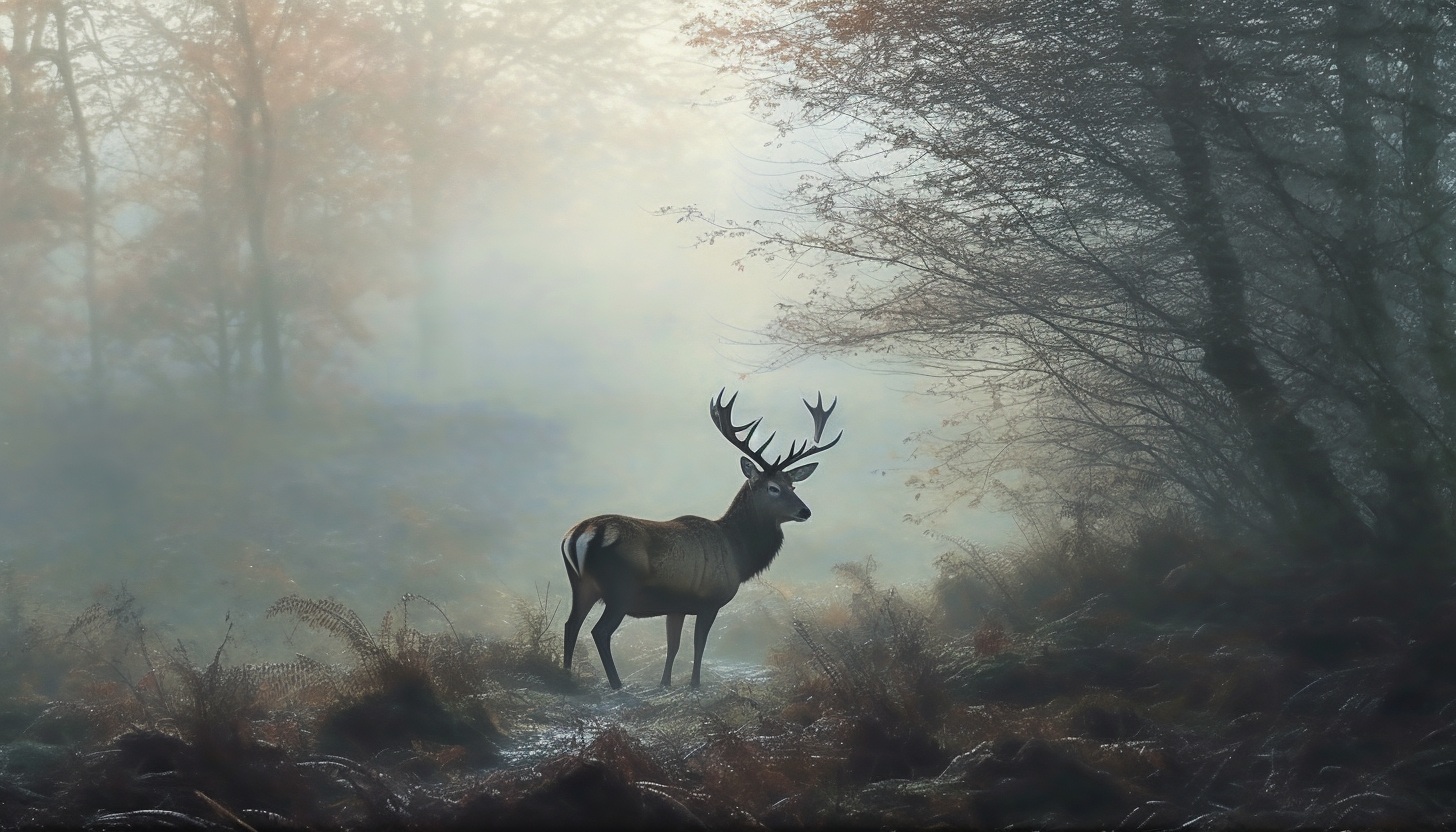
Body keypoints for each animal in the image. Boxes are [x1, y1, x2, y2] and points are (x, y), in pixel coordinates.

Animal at [562, 390, 850, 690]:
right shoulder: (710, 599)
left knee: (570, 625)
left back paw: (566, 677)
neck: (738, 554)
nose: (805, 511)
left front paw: (665, 683)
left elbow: (673, 646)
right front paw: (694, 683)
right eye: (773, 488)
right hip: (620, 588)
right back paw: (616, 683)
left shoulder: (676, 607)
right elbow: (699, 644)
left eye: (793, 485)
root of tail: (579, 535)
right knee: (599, 631)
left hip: (581, 584)